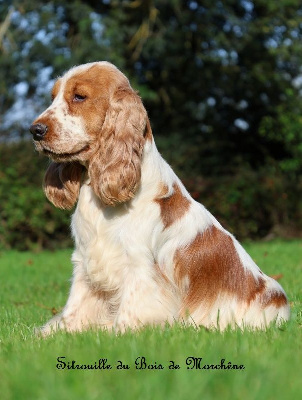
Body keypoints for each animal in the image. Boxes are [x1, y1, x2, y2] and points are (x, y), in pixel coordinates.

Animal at [29, 61, 290, 334]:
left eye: (79, 96)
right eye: (53, 97)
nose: (35, 130)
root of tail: (283, 306)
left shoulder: (139, 266)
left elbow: (131, 311)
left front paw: (118, 332)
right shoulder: (85, 260)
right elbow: (75, 307)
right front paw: (54, 333)